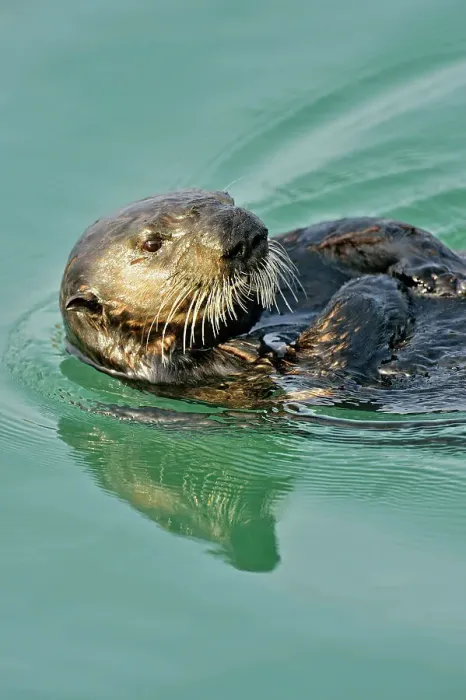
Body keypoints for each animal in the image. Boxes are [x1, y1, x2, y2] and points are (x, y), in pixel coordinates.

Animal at [60, 189, 466, 418]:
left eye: (227, 200)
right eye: (151, 243)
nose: (244, 233)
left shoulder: (306, 251)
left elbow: (353, 230)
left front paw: (434, 270)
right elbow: (331, 360)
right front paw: (375, 283)